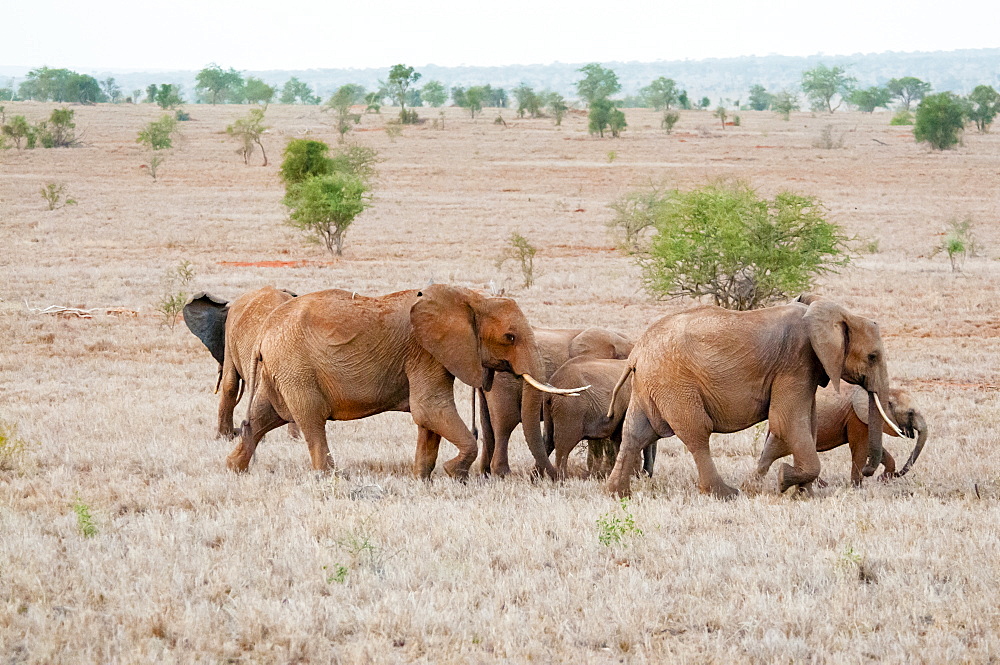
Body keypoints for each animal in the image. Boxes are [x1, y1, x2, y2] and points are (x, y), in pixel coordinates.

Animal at [229, 284, 584, 478]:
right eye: (509, 337)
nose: (555, 478)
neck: (468, 297)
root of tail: (265, 329)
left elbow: (428, 421)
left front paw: (422, 478)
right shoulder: (425, 351)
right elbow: (430, 409)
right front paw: (454, 474)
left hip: (281, 368)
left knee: (265, 416)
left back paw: (234, 467)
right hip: (296, 365)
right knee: (311, 418)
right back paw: (330, 476)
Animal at [476, 326, 632, 474]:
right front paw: (600, 472)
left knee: (488, 427)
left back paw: (486, 474)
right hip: (503, 382)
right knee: (505, 425)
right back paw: (502, 473)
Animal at [604, 296, 904, 498]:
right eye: (872, 357)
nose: (869, 472)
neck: (834, 313)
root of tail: (636, 352)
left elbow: (799, 425)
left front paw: (796, 491)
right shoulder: (796, 361)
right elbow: (788, 423)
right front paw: (784, 480)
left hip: (650, 384)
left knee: (636, 433)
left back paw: (618, 494)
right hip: (675, 383)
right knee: (697, 433)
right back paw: (725, 494)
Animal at [756, 382, 928, 486]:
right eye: (910, 413)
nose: (877, 476)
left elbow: (872, 447)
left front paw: (883, 479)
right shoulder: (856, 417)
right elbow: (861, 447)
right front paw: (857, 487)